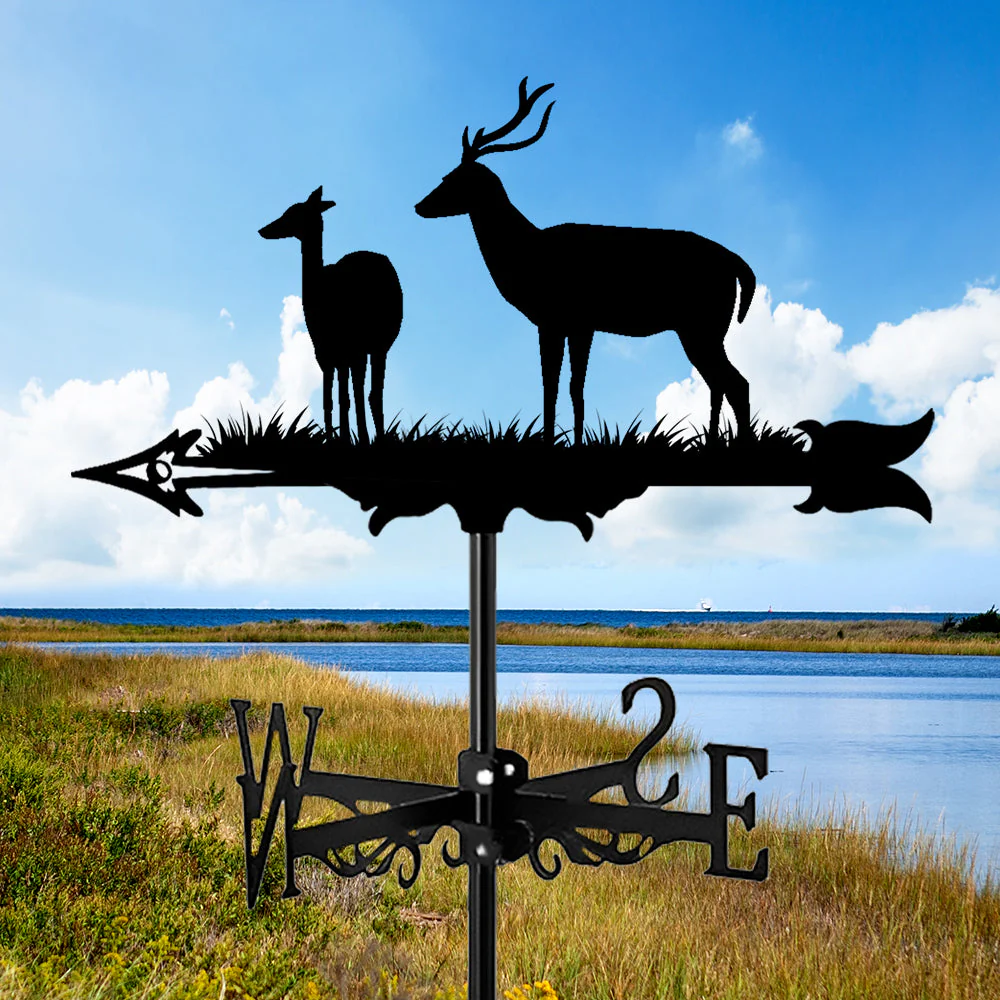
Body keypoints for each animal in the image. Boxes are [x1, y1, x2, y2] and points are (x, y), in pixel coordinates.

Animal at [259, 186, 402, 445]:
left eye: (292, 213)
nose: (263, 229)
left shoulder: (342, 350)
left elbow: (343, 397)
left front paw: (347, 437)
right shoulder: (326, 353)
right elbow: (332, 399)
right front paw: (337, 437)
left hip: (374, 343)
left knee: (369, 392)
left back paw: (372, 436)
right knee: (365, 391)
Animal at [415, 79, 757, 445]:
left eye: (451, 178)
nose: (419, 205)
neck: (525, 253)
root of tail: (738, 265)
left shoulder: (557, 319)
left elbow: (556, 386)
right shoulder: (576, 324)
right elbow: (569, 386)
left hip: (702, 325)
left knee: (736, 383)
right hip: (703, 330)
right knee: (720, 383)